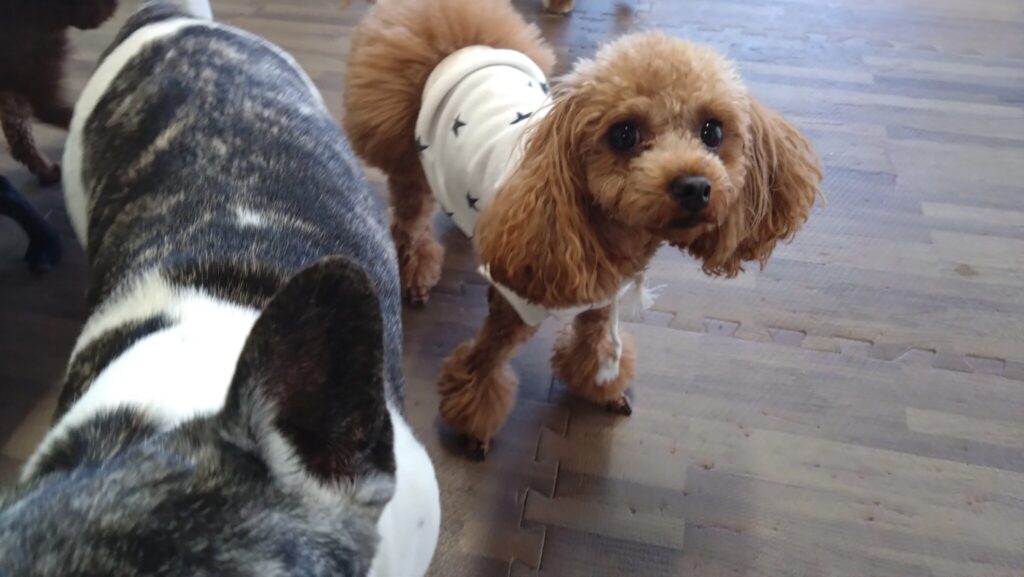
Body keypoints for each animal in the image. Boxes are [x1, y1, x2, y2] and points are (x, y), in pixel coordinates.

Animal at [344, 0, 823, 458]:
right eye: (623, 134)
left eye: (712, 131)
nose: (694, 187)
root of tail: (460, 43)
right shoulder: (513, 305)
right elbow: (485, 364)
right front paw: (474, 428)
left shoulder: (602, 299)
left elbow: (595, 346)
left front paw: (602, 388)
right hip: (410, 157)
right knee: (410, 219)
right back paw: (416, 272)